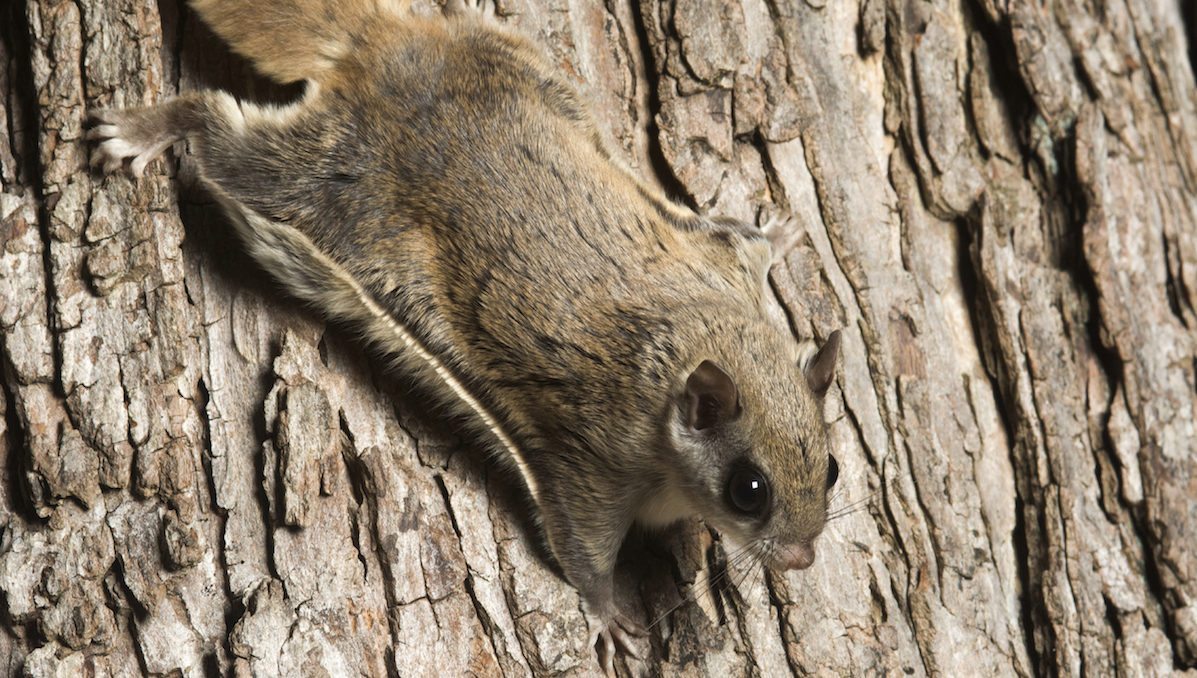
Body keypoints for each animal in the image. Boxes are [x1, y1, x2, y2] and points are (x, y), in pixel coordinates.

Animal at [88, 0, 847, 670]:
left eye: (833, 468)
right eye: (749, 490)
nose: (803, 557)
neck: (688, 343)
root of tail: (379, 49)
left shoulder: (719, 267)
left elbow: (742, 242)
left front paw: (779, 235)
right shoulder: (593, 460)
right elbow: (582, 549)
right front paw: (608, 618)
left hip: (519, 68)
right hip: (317, 183)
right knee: (219, 131)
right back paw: (151, 127)